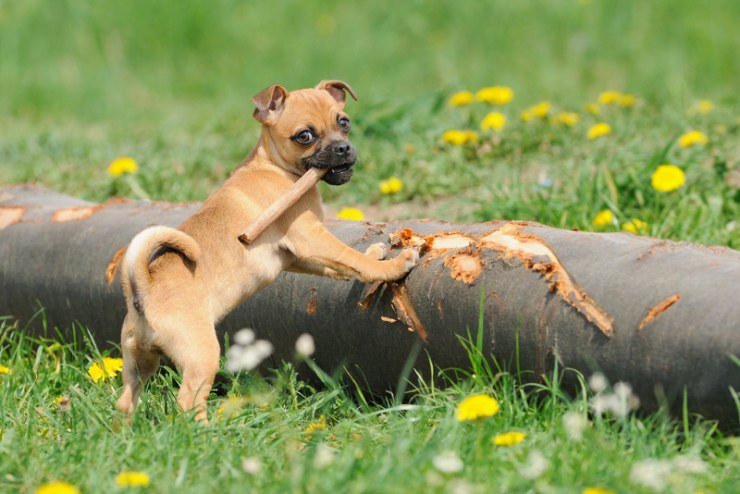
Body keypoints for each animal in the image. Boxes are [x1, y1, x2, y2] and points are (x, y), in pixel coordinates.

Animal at [114, 80, 416, 420]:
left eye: (344, 123)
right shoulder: (312, 237)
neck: (275, 167)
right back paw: (206, 429)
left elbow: (345, 263)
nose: (343, 148)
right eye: (304, 136)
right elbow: (347, 255)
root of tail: (142, 288)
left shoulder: (299, 257)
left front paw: (375, 252)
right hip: (201, 354)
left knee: (126, 400)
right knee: (188, 401)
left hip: (139, 360)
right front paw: (393, 266)